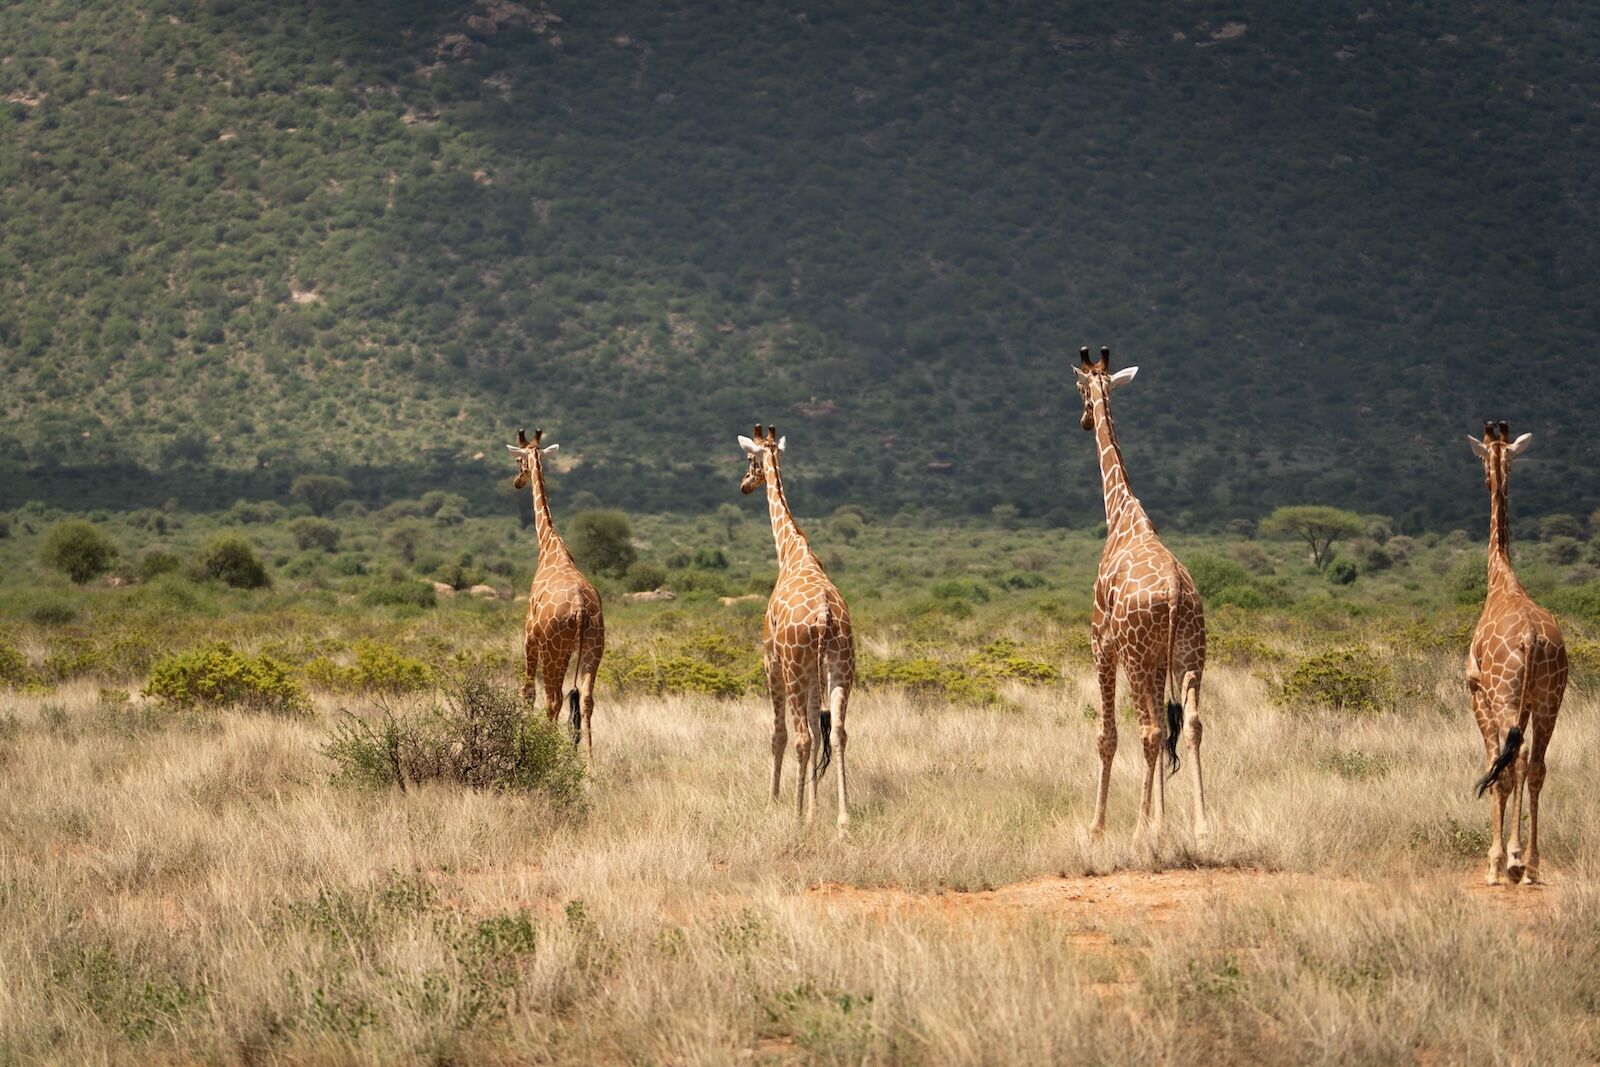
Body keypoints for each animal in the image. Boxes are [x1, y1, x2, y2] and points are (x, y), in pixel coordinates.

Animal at [505, 428, 604, 758]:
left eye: (519, 460)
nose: (517, 481)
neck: (550, 547)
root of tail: (580, 609)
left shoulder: (528, 636)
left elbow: (526, 691)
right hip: (593, 647)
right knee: (585, 700)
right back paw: (588, 763)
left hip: (553, 650)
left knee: (554, 700)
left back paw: (547, 754)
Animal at [739, 422, 857, 825]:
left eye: (750, 460)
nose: (744, 485)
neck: (792, 551)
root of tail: (824, 615)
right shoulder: (813, 671)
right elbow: (822, 733)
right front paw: (814, 809)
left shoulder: (770, 660)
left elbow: (778, 735)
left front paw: (775, 802)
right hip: (840, 667)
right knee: (837, 733)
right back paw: (842, 820)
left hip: (792, 668)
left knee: (802, 735)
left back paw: (793, 815)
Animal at [1075, 347, 1209, 838]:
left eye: (1079, 389)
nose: (1084, 420)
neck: (1121, 514)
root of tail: (1173, 591)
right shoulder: (1157, 660)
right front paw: (1161, 821)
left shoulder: (1101, 643)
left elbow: (1107, 735)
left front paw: (1098, 826)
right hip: (1189, 653)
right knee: (1191, 723)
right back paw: (1202, 824)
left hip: (1133, 656)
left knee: (1149, 731)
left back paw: (1134, 831)